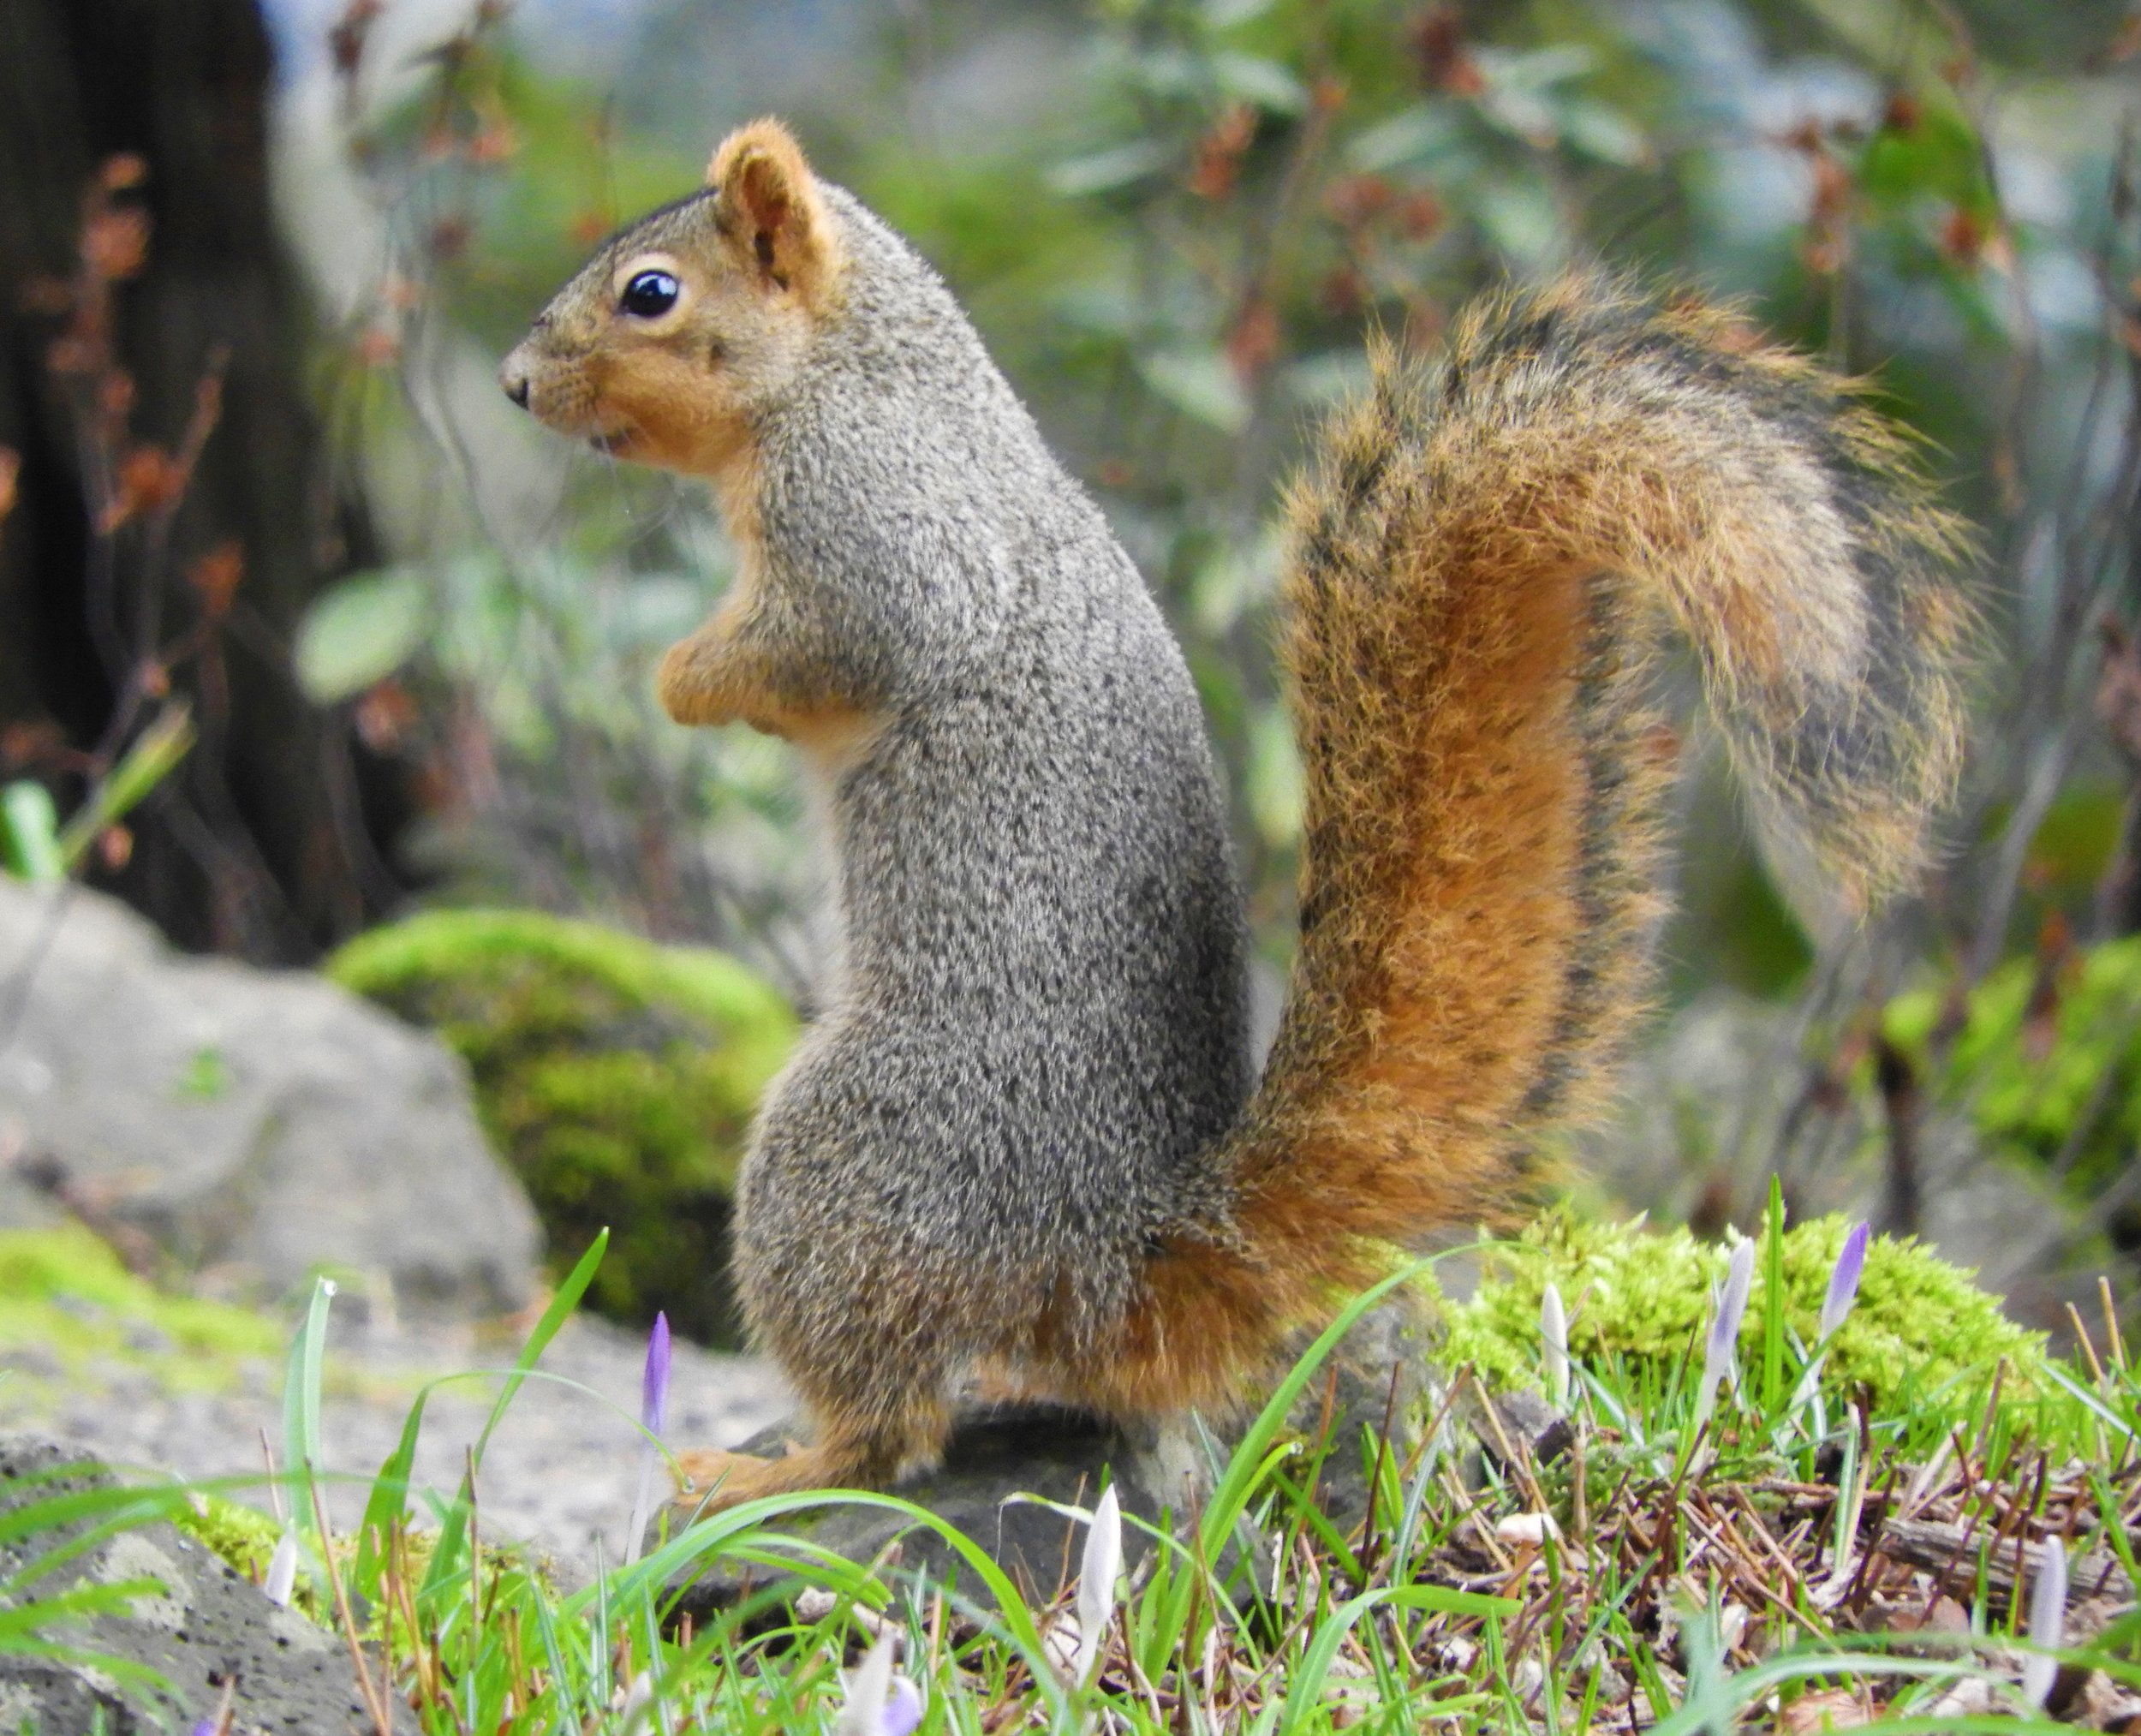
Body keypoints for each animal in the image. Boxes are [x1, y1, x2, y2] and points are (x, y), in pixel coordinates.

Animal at [500, 119, 1975, 1511]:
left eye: (650, 292)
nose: (516, 383)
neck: (856, 370)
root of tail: (1108, 1256)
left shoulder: (877, 529)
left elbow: (824, 644)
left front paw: (679, 678)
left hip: (845, 1160)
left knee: (894, 1429)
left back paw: (762, 1470)